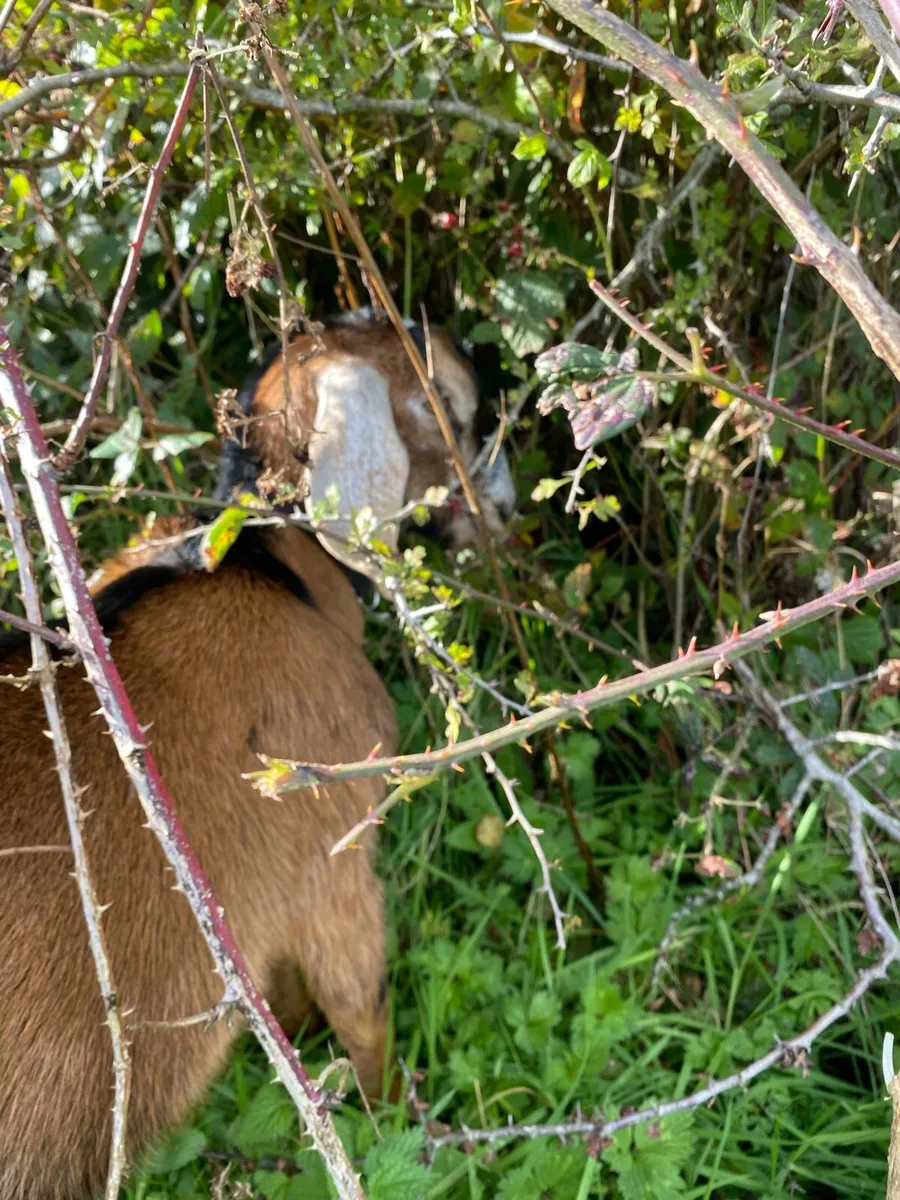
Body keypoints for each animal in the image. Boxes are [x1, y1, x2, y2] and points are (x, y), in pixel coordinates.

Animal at [0, 309, 515, 1200]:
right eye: (447, 404)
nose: (508, 506)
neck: (262, 564)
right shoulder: (332, 853)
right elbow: (361, 1009)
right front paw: (388, 1120)